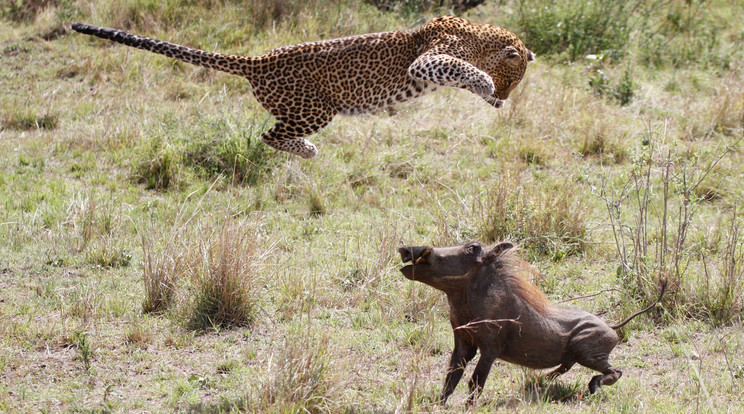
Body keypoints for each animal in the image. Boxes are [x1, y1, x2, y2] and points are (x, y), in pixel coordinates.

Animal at [72, 16, 532, 158]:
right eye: (512, 80)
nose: (503, 100)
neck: (480, 37)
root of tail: (258, 60)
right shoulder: (428, 59)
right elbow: (458, 67)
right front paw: (483, 82)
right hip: (314, 109)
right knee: (270, 135)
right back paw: (308, 150)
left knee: (269, 133)